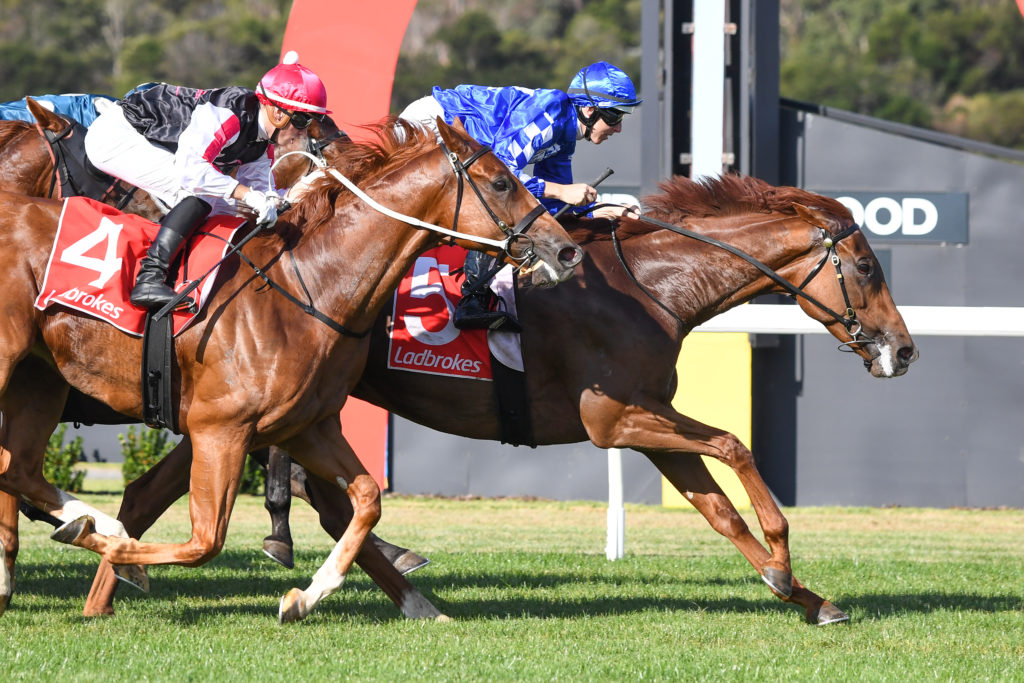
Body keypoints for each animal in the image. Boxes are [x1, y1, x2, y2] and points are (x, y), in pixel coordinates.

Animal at [0, 117, 582, 622]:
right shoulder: (219, 429)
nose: (567, 251)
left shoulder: (306, 425)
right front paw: (114, 551)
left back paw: (87, 521)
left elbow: (366, 500)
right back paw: (90, 530)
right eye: (503, 182)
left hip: (39, 378)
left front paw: (306, 598)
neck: (310, 286)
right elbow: (205, 541)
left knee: (18, 467)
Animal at [76, 174, 918, 625]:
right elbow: (736, 446)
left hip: (258, 409)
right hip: (262, 408)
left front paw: (805, 594)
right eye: (868, 267)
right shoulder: (614, 419)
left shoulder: (646, 423)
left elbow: (718, 508)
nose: (903, 349)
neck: (652, 287)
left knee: (164, 488)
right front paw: (784, 560)